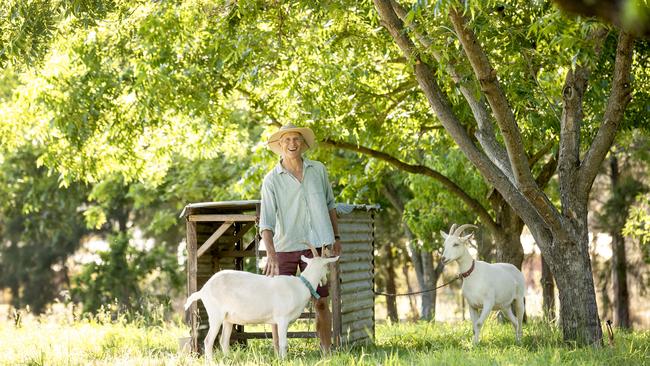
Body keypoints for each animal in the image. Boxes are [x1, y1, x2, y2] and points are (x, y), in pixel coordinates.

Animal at [181, 246, 336, 360]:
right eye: (326, 267)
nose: (325, 281)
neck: (300, 286)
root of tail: (203, 290)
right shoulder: (282, 319)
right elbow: (284, 343)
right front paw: (284, 360)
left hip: (227, 318)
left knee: (223, 340)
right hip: (215, 314)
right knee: (208, 341)